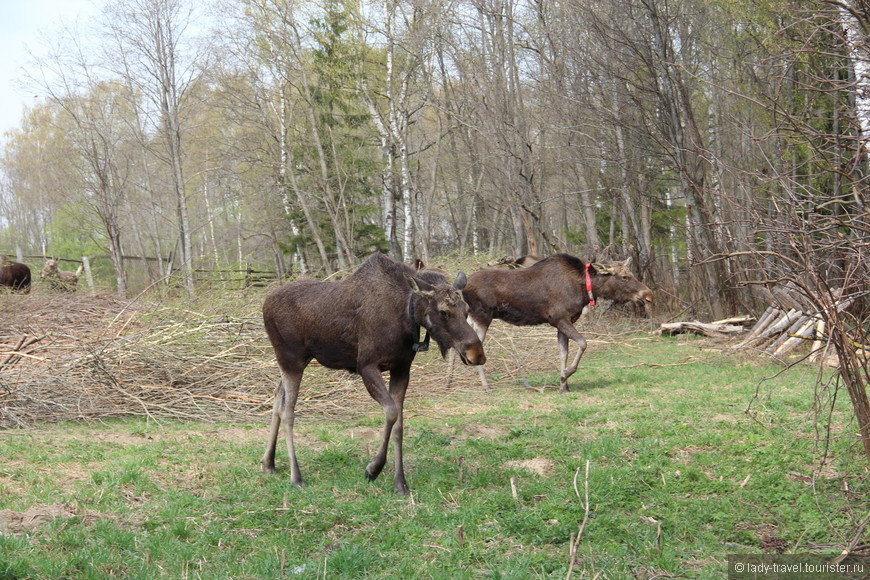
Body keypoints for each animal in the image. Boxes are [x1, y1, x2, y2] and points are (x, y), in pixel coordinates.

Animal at [262, 251, 488, 496]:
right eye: (443, 312)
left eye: (466, 310)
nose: (477, 354)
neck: (406, 316)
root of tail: (265, 303)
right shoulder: (366, 366)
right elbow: (391, 412)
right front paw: (373, 468)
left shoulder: (401, 368)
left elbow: (399, 424)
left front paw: (400, 483)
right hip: (291, 359)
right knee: (288, 411)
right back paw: (296, 476)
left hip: (296, 361)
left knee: (276, 398)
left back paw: (269, 462)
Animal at [454, 253, 652, 392]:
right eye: (625, 277)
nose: (648, 295)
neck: (585, 288)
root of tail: (462, 287)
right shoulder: (559, 318)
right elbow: (583, 343)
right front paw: (565, 374)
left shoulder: (563, 322)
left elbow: (564, 353)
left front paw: (564, 384)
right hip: (482, 316)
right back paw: (485, 385)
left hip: (472, 317)